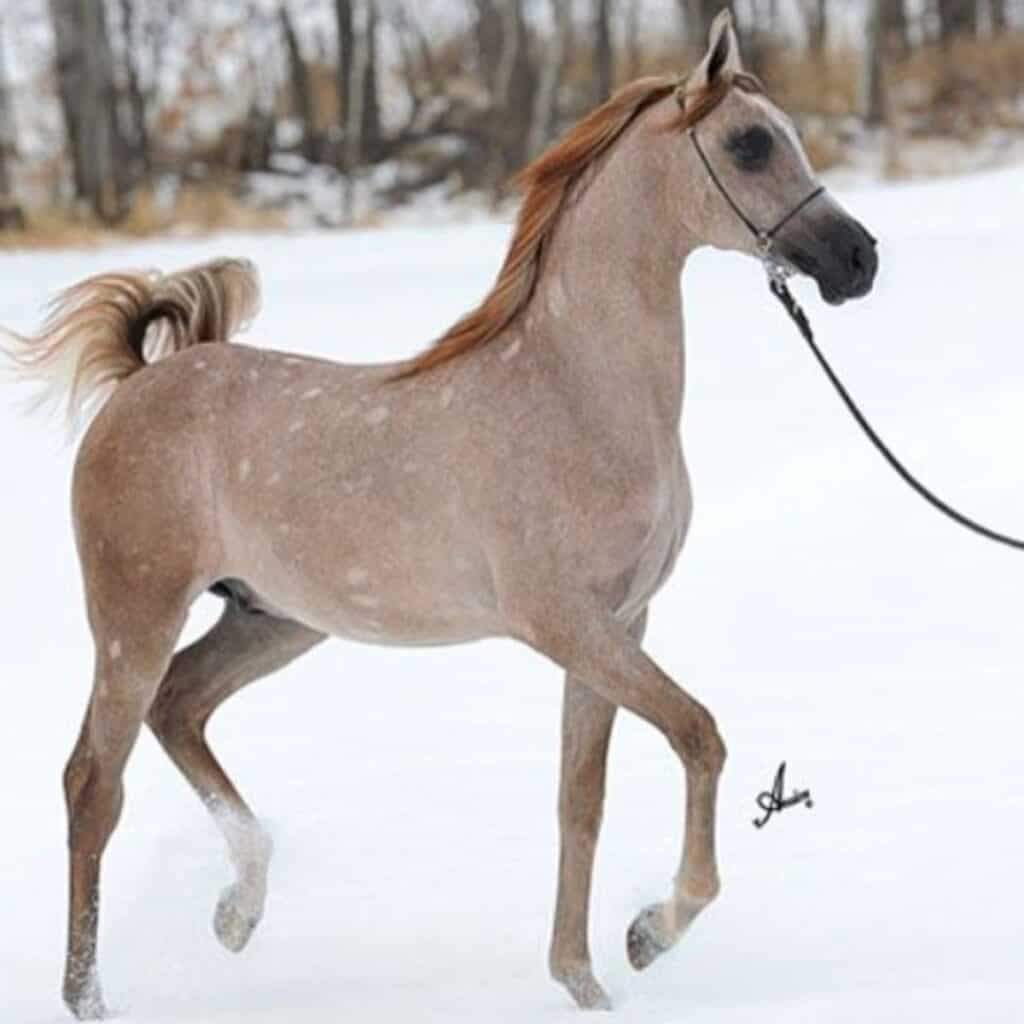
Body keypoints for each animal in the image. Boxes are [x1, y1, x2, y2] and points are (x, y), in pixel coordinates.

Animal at [2, 12, 876, 1019]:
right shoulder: (568, 625)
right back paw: (93, 994)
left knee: (180, 708)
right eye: (749, 143)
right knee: (93, 783)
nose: (859, 260)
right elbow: (699, 734)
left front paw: (584, 981)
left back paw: (237, 911)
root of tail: (140, 382)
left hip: (274, 620)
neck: (579, 396)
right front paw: (652, 932)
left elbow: (581, 802)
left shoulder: (618, 627)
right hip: (134, 617)